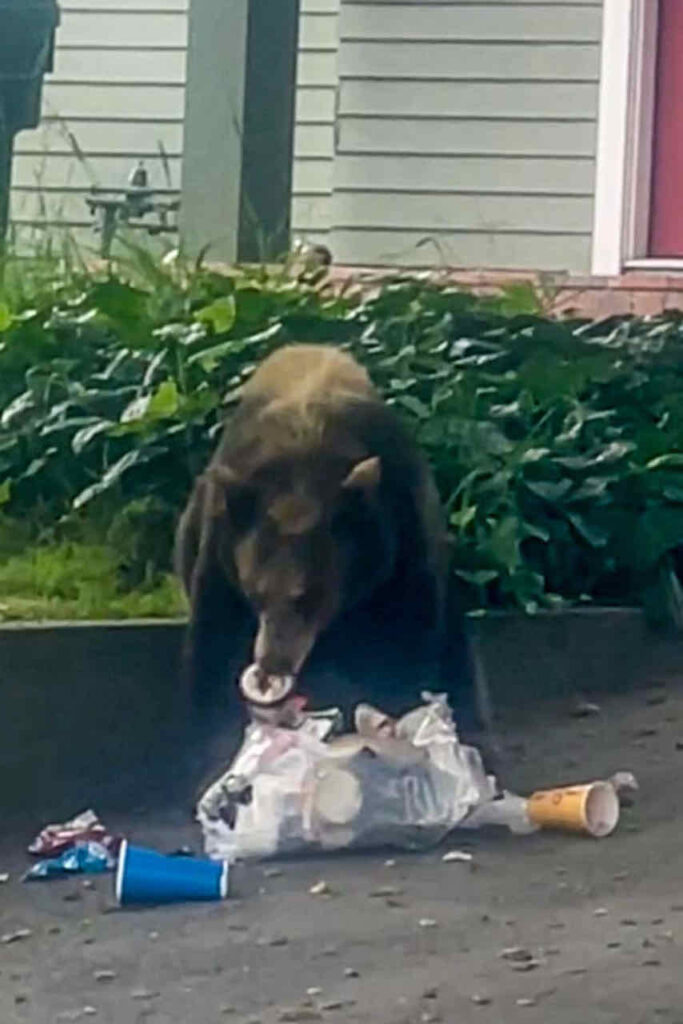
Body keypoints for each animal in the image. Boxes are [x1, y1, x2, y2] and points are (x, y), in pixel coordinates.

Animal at [174, 348, 489, 757]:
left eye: (312, 595)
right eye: (254, 592)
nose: (272, 665)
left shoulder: (402, 543)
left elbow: (409, 645)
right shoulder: (220, 547)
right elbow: (211, 647)